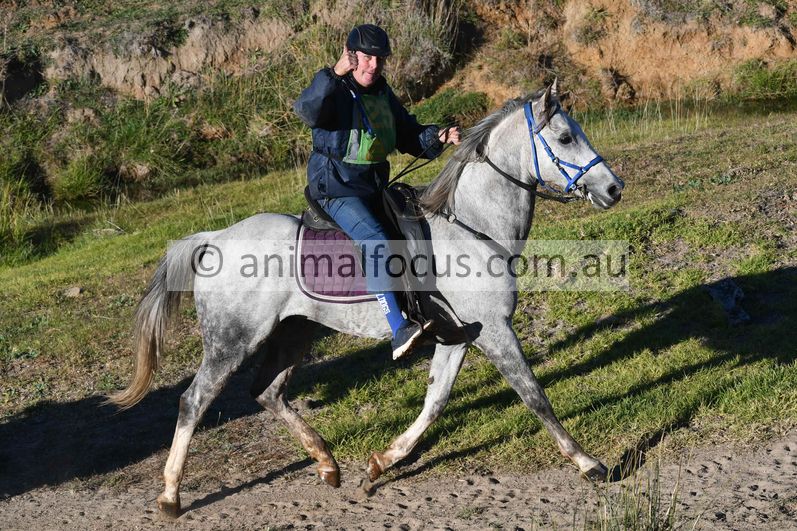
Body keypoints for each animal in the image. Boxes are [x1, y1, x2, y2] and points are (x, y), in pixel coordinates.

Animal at [110, 80, 625, 517]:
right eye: (564, 138)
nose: (613, 188)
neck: (472, 227)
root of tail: (214, 239)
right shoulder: (496, 331)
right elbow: (535, 396)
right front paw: (589, 463)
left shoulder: (461, 335)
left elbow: (435, 401)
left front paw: (382, 463)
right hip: (230, 342)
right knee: (193, 401)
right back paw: (171, 495)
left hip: (294, 334)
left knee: (268, 392)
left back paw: (326, 463)